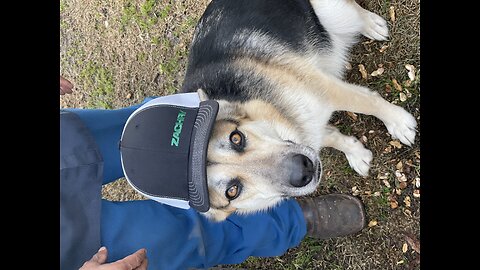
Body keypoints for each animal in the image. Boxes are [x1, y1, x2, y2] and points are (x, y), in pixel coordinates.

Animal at [180, 0, 416, 221]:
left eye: (236, 138)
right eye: (232, 191)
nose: (303, 170)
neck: (277, 116)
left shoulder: (325, 90)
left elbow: (370, 103)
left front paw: (398, 122)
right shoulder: (309, 128)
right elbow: (333, 137)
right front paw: (355, 153)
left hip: (333, 11)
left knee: (353, 12)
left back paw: (370, 24)